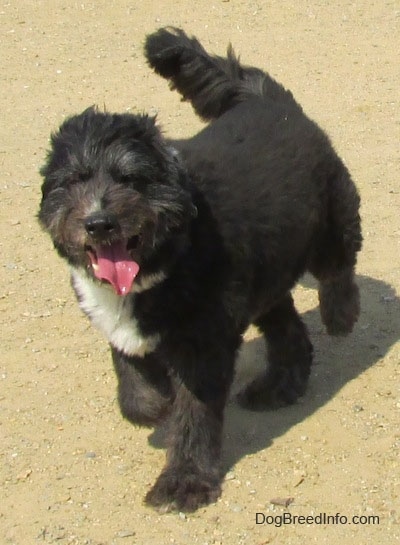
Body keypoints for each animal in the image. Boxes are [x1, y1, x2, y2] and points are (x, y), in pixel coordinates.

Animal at [38, 27, 362, 512]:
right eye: (74, 180)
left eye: (131, 179)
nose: (98, 222)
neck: (168, 255)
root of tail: (265, 98)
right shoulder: (122, 329)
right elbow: (135, 392)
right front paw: (155, 403)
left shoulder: (202, 349)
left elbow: (193, 418)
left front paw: (185, 481)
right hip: (264, 281)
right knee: (290, 333)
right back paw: (279, 386)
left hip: (329, 221)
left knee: (339, 264)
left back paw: (340, 312)